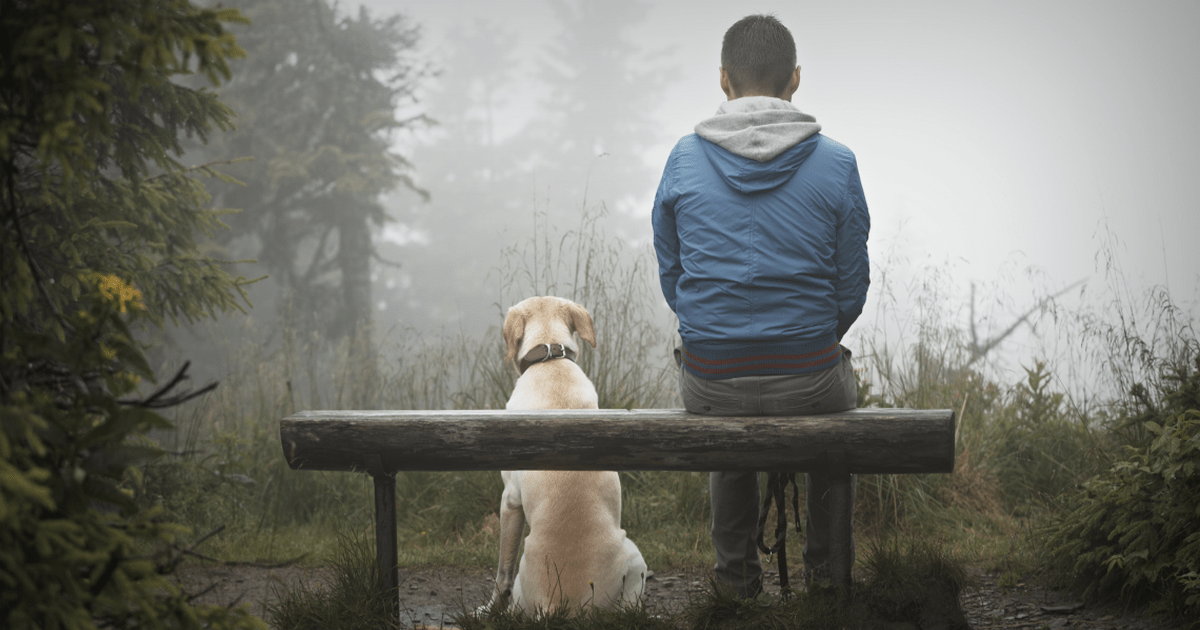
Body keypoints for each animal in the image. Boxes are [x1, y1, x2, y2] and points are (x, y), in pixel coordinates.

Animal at [487, 297, 648, 612]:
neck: (550, 360)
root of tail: (559, 605)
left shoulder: (510, 499)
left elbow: (502, 571)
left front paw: (487, 609)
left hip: (634, 553)